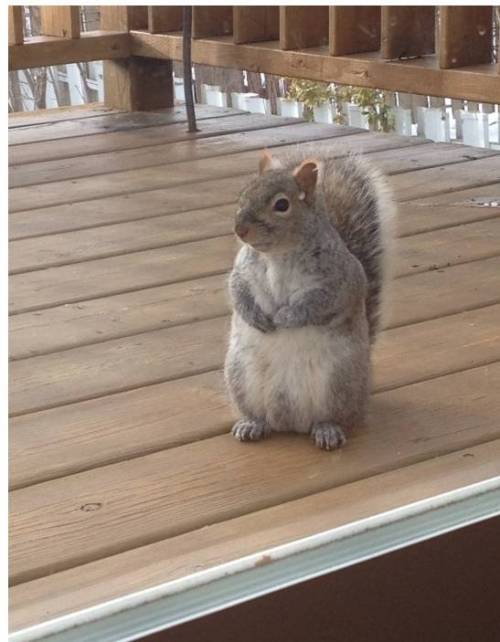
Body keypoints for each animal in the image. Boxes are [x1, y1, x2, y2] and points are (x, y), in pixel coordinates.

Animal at [224, 146, 394, 450]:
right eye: (244, 192)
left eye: (281, 205)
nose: (239, 230)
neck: (278, 255)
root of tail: (291, 423)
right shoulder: (241, 271)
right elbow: (238, 292)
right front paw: (257, 317)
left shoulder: (338, 281)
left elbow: (317, 303)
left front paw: (286, 317)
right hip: (240, 377)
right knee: (259, 415)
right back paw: (252, 423)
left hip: (338, 382)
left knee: (334, 416)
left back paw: (327, 430)